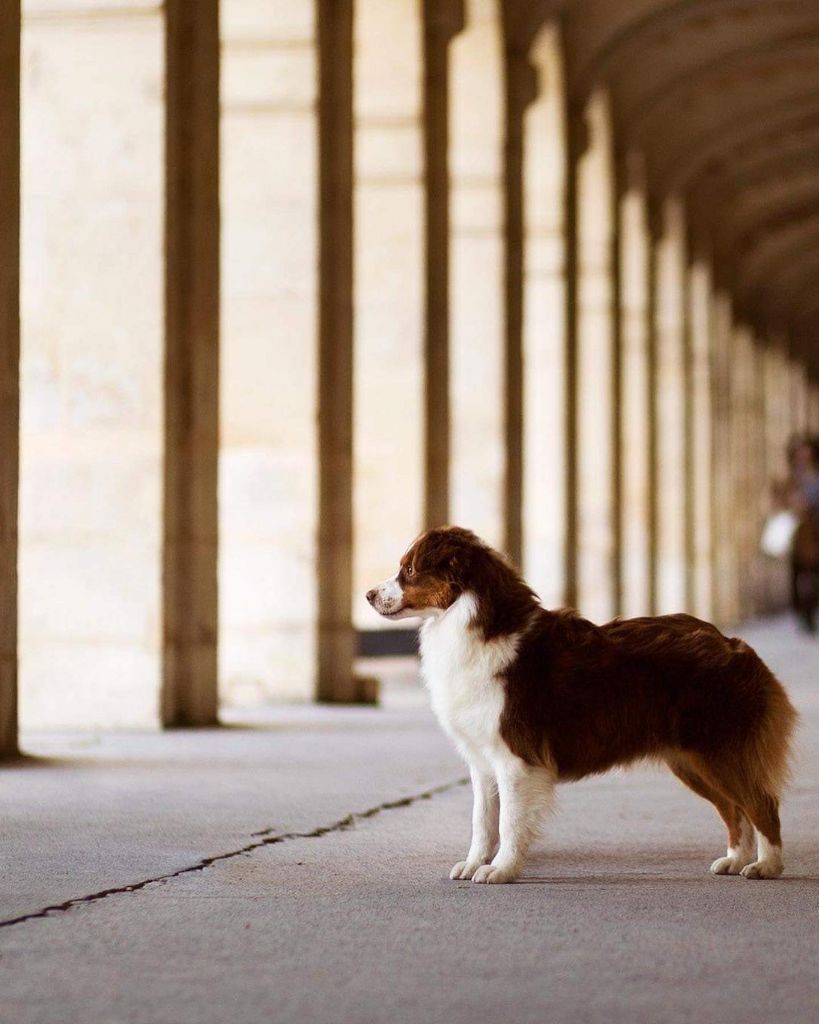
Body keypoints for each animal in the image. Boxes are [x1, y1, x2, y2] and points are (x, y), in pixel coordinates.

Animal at [368, 528, 798, 880]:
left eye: (409, 570)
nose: (368, 595)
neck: (469, 620)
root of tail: (737, 646)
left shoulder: (516, 758)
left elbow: (508, 821)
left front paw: (501, 870)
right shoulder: (482, 760)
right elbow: (482, 821)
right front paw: (474, 864)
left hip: (718, 750)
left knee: (761, 803)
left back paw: (766, 866)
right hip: (692, 760)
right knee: (734, 809)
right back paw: (735, 860)